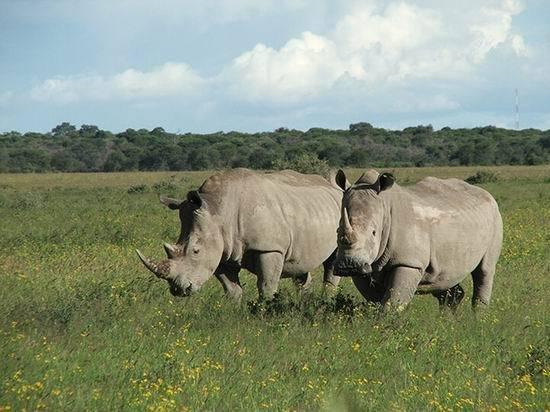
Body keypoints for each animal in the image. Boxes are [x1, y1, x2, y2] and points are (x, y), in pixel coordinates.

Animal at [137, 167, 344, 300]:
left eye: (196, 251)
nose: (178, 289)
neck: (217, 210)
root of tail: (336, 189)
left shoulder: (269, 248)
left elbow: (267, 285)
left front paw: (266, 309)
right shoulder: (222, 251)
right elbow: (231, 289)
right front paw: (235, 311)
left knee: (332, 263)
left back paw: (326, 301)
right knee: (300, 266)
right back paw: (304, 303)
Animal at [334, 169, 506, 310]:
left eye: (374, 233)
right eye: (337, 232)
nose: (348, 266)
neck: (384, 207)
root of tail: (488, 194)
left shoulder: (409, 262)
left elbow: (392, 302)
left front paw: (386, 326)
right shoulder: (365, 266)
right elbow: (375, 299)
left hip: (495, 218)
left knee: (484, 271)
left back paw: (478, 320)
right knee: (446, 278)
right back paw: (447, 322)